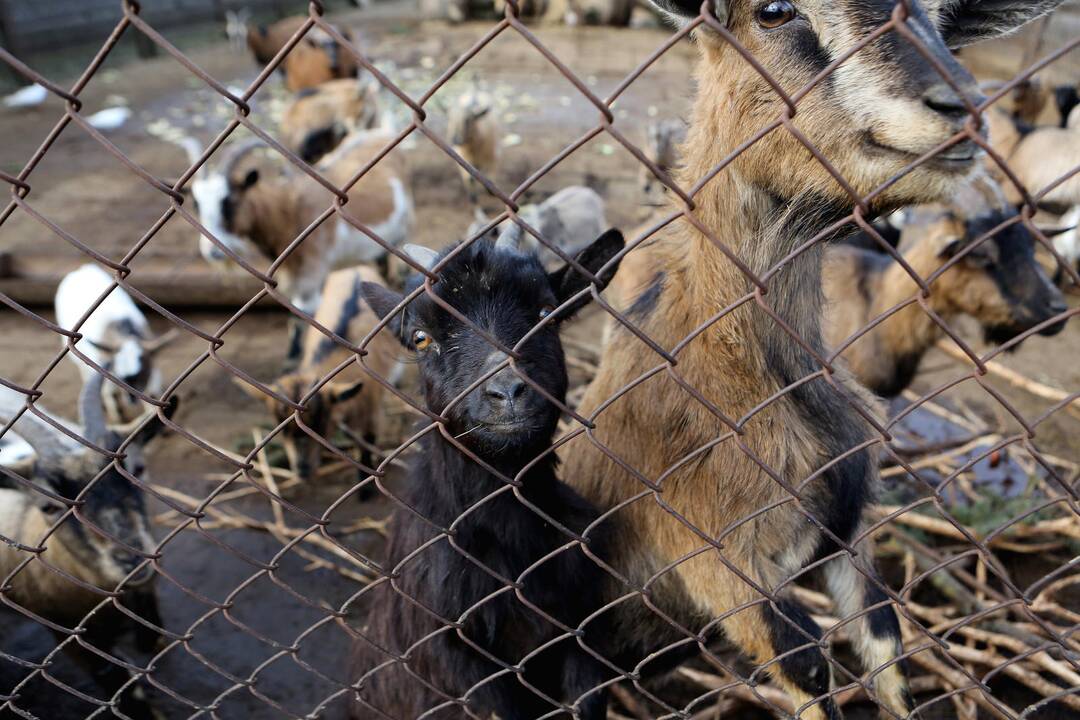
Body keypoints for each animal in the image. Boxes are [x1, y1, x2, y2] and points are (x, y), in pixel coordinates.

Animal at [561, 2, 1067, 716]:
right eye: (774, 12)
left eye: (941, 20)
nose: (962, 107)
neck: (744, 374)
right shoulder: (718, 564)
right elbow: (807, 668)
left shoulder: (846, 537)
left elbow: (886, 649)